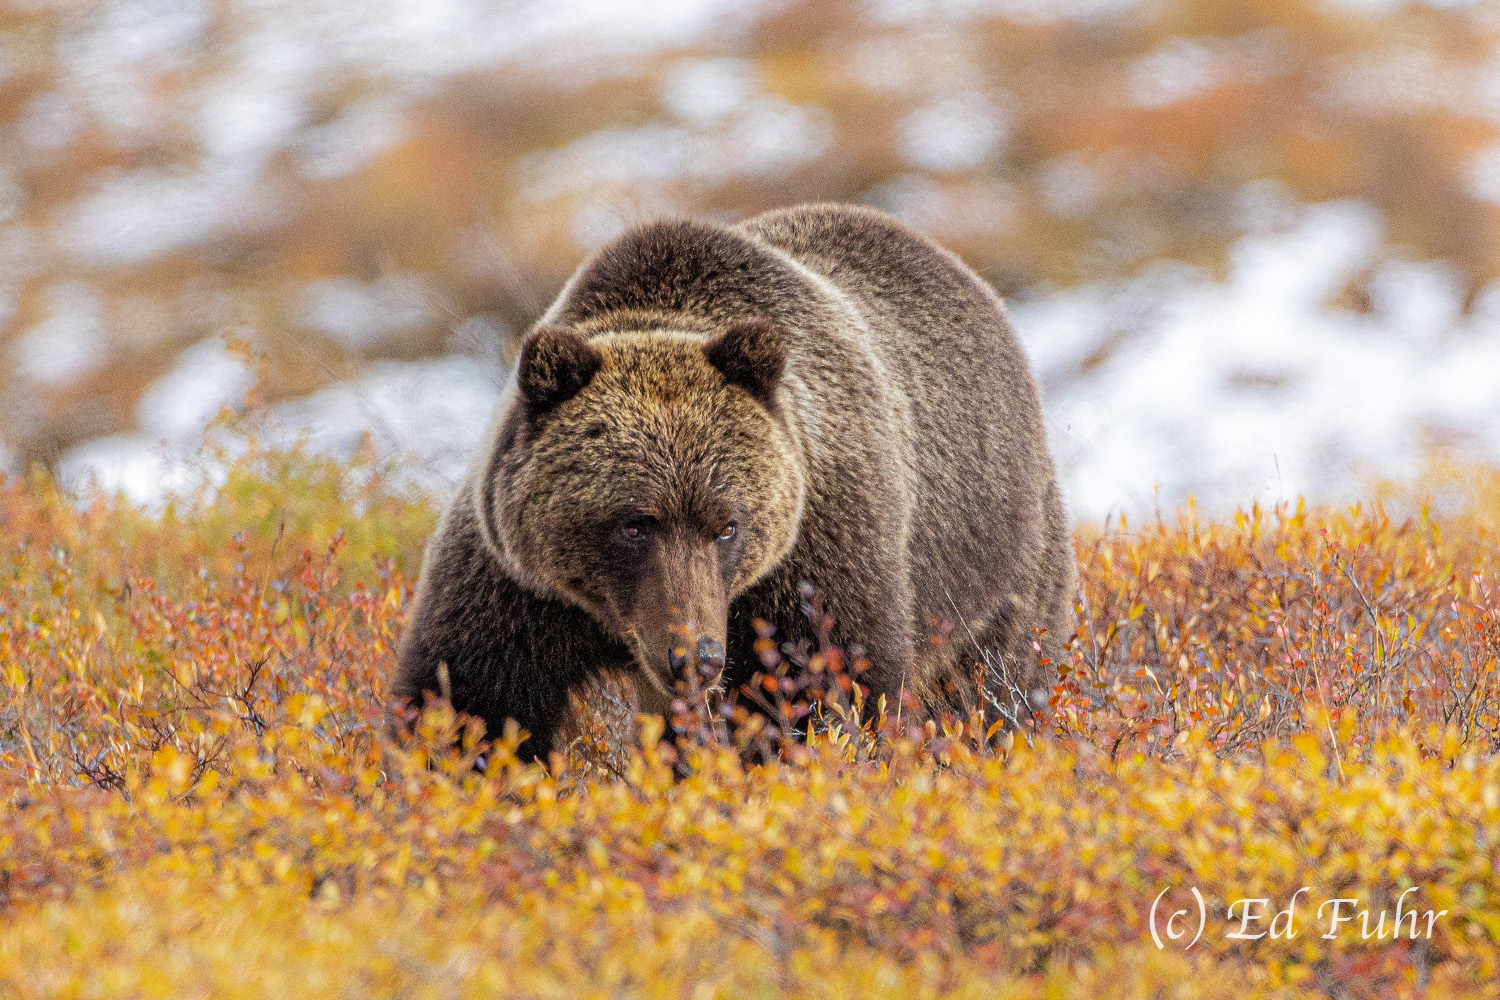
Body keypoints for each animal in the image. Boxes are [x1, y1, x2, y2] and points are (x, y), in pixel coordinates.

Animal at [393, 203, 1072, 762]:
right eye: (633, 524)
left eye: (727, 525)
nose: (695, 657)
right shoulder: (518, 586)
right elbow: (469, 701)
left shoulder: (815, 558)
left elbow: (820, 695)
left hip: (997, 574)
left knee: (990, 692)